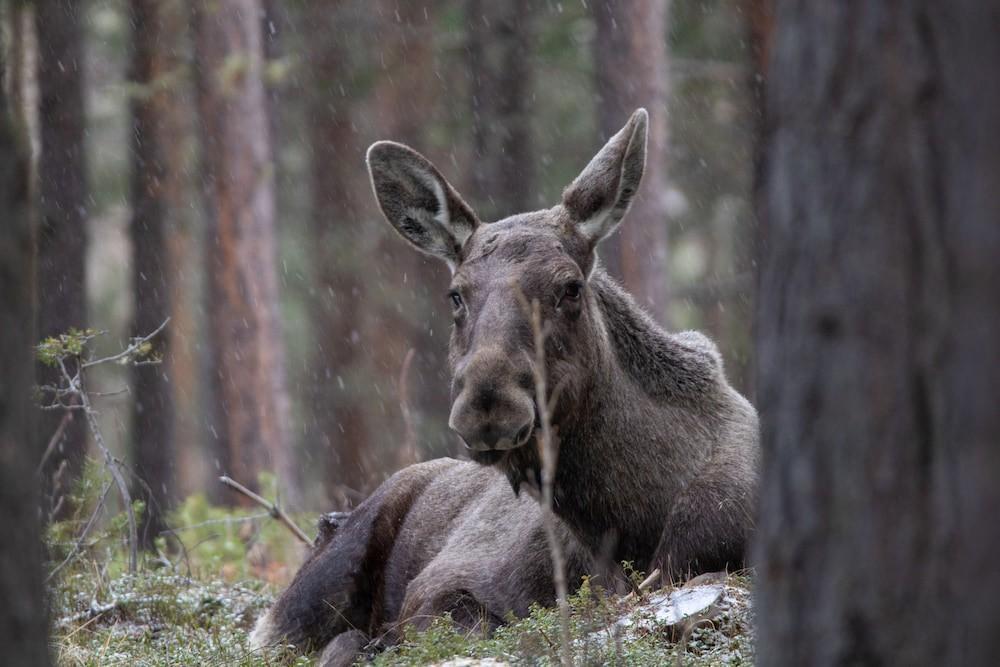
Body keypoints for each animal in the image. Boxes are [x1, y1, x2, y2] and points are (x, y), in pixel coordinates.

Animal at [250, 109, 756, 664]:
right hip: (320, 582)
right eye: (455, 295)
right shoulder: (445, 583)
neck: (631, 523)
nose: (487, 407)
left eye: (570, 287)